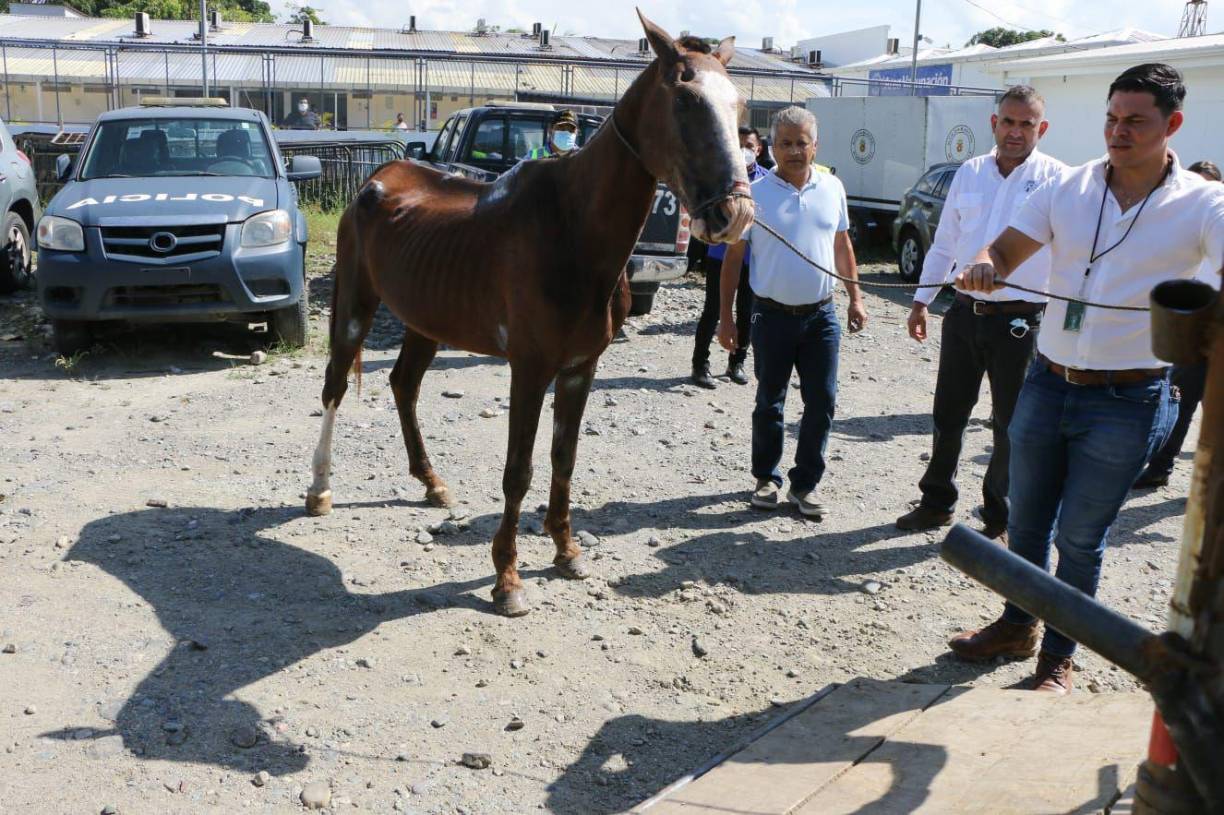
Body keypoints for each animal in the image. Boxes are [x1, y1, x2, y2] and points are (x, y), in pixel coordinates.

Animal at [305, 11, 755, 616]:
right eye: (685, 99)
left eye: (740, 107)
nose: (735, 214)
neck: (572, 231)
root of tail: (380, 177)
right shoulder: (529, 367)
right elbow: (518, 470)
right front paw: (507, 579)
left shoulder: (580, 368)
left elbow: (564, 458)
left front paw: (566, 552)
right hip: (355, 303)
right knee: (334, 385)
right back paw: (320, 490)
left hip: (426, 319)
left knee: (404, 385)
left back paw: (431, 482)